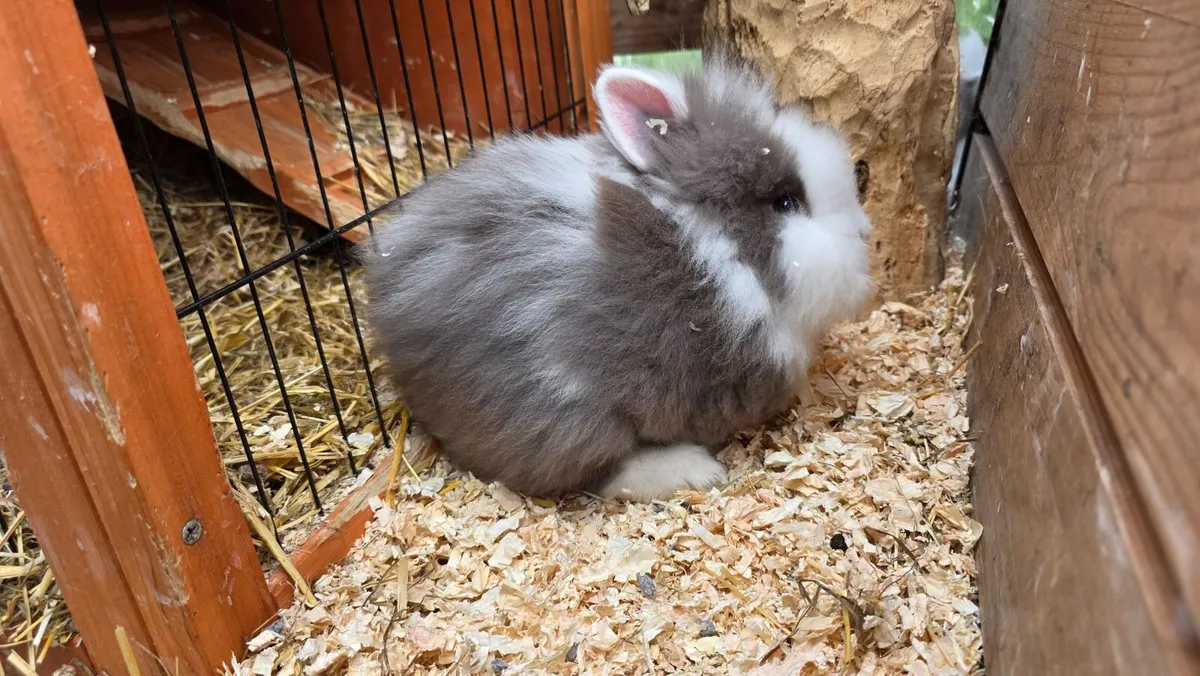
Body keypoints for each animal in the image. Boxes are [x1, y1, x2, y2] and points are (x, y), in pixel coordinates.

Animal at [363, 51, 873, 502]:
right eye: (786, 202)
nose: (864, 233)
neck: (719, 251)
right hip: (566, 415)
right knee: (597, 468)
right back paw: (693, 470)